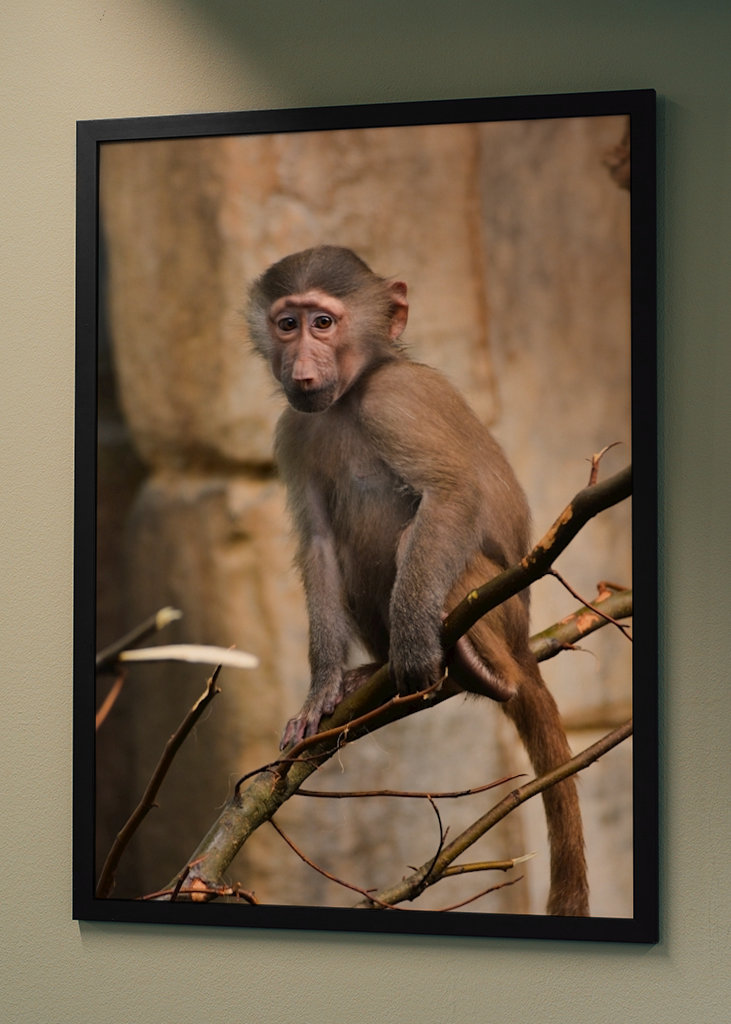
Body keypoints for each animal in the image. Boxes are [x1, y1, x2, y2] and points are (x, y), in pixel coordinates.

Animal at [246, 245, 589, 917]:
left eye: (323, 323)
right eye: (287, 324)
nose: (301, 366)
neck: (351, 396)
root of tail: (523, 642)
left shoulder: (395, 400)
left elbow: (451, 494)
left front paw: (411, 645)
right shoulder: (294, 430)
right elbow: (319, 548)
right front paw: (321, 689)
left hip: (497, 604)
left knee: (420, 536)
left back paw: (474, 665)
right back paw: (371, 674)